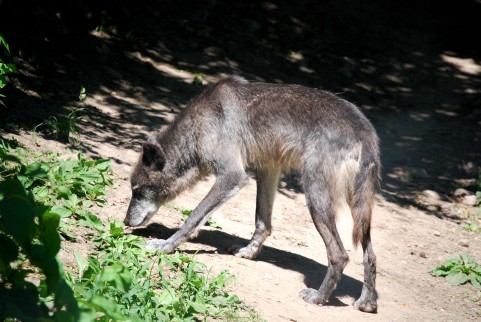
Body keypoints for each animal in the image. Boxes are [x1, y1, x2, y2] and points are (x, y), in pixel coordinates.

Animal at [123, 75, 378, 312]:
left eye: (137, 191)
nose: (125, 221)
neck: (200, 125)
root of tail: (364, 131)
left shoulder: (232, 176)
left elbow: (192, 218)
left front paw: (165, 246)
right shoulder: (267, 170)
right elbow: (262, 223)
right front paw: (249, 252)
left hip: (315, 199)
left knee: (339, 255)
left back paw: (318, 298)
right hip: (359, 213)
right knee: (370, 256)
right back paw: (367, 303)